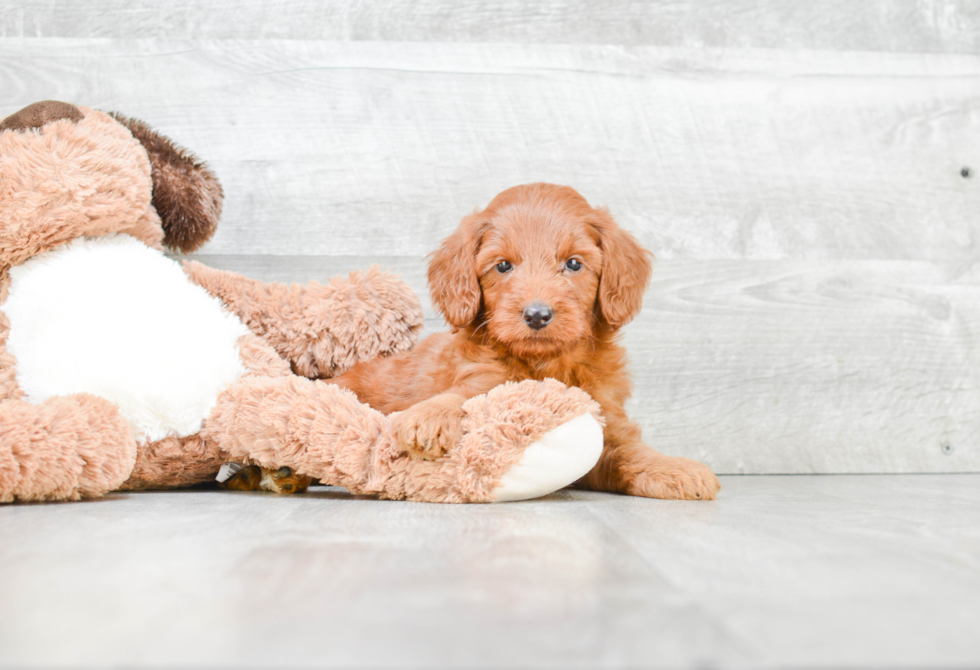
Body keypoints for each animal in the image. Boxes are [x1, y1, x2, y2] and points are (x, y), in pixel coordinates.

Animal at [334, 182, 724, 498]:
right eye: (503, 266)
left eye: (574, 264)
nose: (537, 315)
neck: (548, 363)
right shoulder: (481, 377)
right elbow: (466, 396)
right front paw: (431, 415)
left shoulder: (606, 418)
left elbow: (632, 451)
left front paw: (674, 468)